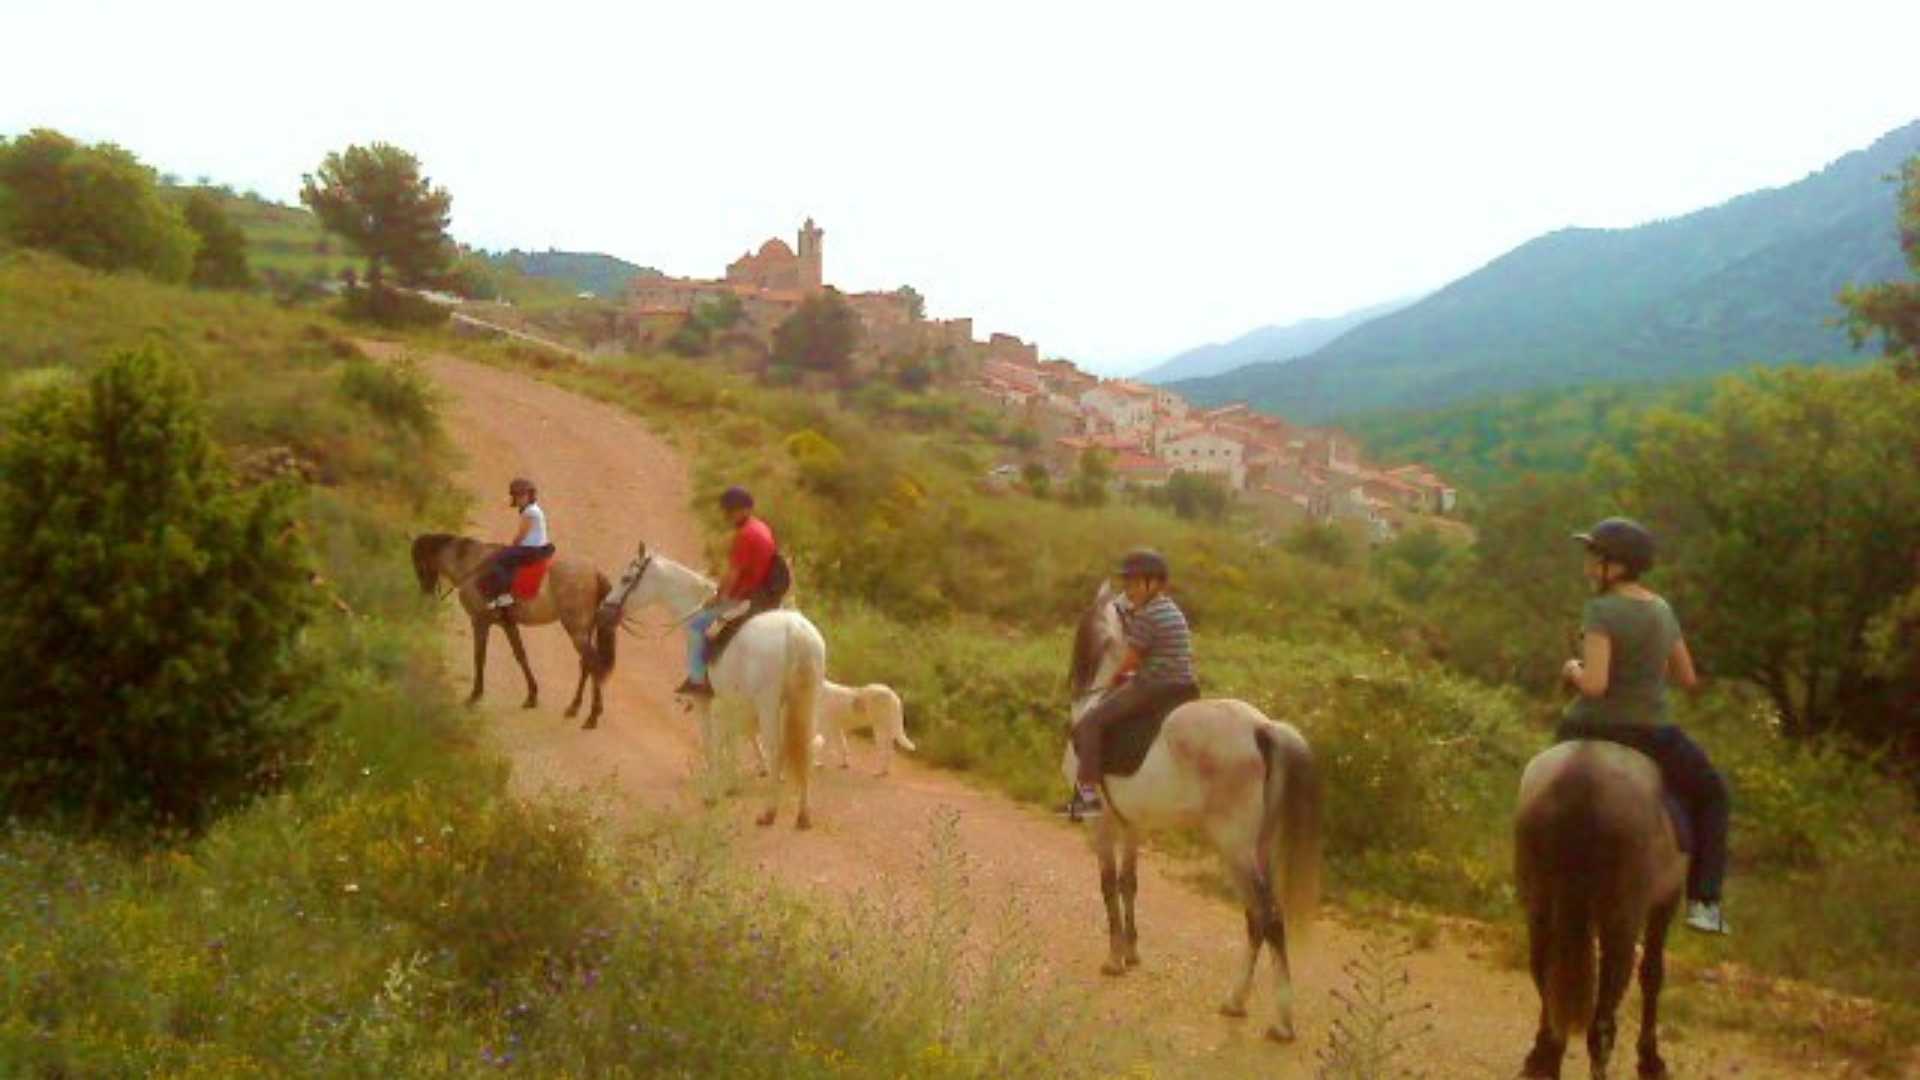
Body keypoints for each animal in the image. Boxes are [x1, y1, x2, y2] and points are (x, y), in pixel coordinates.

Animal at [410, 534, 614, 726]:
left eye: (418, 564)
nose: (426, 592)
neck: (471, 564)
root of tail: (594, 573)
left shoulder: (479, 622)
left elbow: (479, 657)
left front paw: (475, 695)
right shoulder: (508, 624)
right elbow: (520, 655)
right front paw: (531, 696)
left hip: (576, 630)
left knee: (592, 663)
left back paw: (592, 716)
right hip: (584, 630)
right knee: (587, 664)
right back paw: (575, 707)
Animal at [599, 541, 825, 826]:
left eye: (626, 578)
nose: (604, 611)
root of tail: (795, 632)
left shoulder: (709, 702)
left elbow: (712, 743)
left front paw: (712, 793)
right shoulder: (732, 702)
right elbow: (733, 741)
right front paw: (731, 785)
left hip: (768, 704)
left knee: (776, 748)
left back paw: (769, 812)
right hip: (807, 701)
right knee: (803, 747)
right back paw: (803, 815)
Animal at [748, 676, 921, 768]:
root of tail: (894, 695)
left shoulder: (825, 730)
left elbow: (820, 747)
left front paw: (816, 763)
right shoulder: (835, 730)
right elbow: (842, 747)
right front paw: (844, 763)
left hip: (880, 729)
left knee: (886, 750)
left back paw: (879, 771)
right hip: (887, 729)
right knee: (890, 750)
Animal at [1067, 576, 1320, 1037]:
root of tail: (1262, 727)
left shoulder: (1103, 824)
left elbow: (1108, 886)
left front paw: (1114, 960)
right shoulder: (1132, 825)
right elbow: (1129, 884)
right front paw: (1132, 953)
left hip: (1233, 847)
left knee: (1267, 917)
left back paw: (1281, 1020)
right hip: (1256, 847)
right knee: (1256, 919)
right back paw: (1237, 1001)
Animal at [1512, 737, 1681, 1076]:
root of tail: (1582, 773)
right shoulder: (1664, 903)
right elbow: (1652, 974)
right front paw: (1650, 1059)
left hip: (1539, 908)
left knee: (1544, 972)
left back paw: (1544, 1058)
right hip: (1622, 920)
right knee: (1603, 1016)